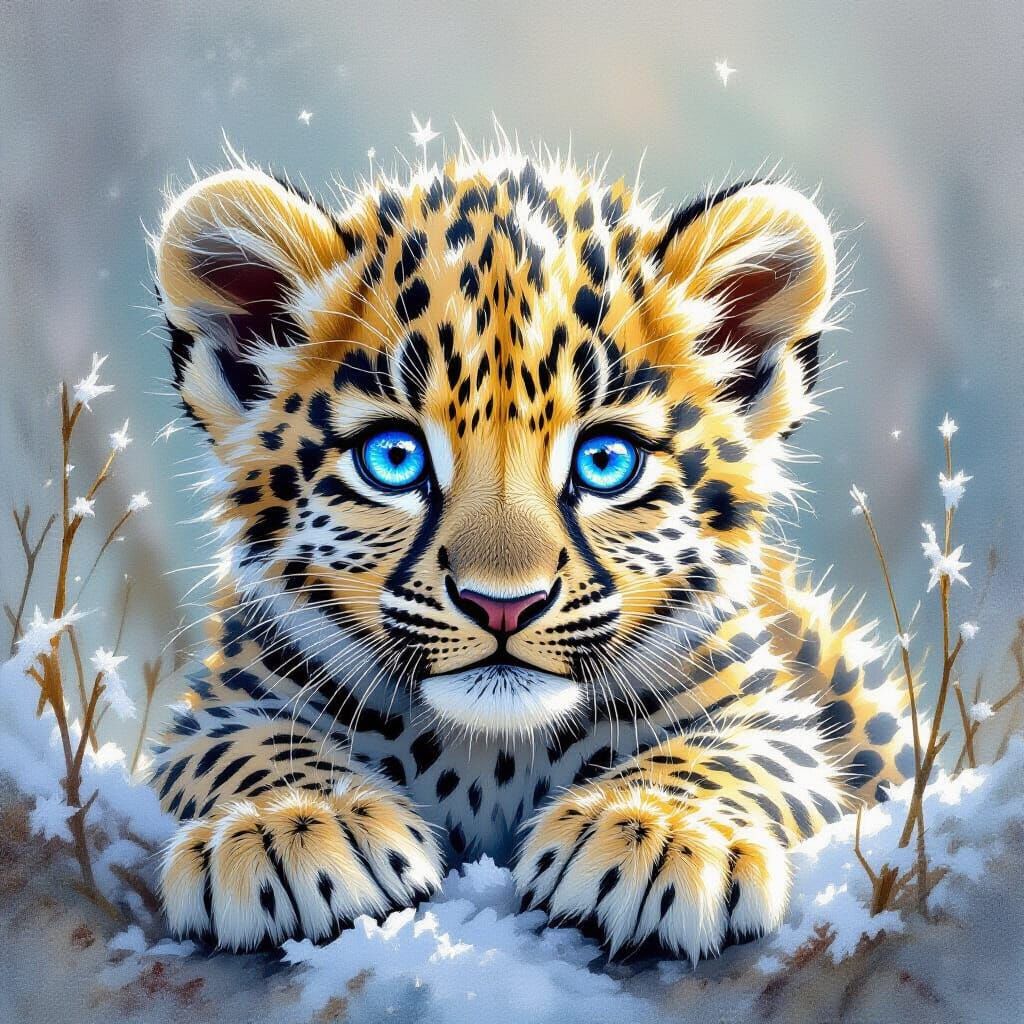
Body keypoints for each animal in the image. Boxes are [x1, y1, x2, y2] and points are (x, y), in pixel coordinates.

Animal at [149, 139, 915, 962]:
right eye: (393, 458)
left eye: (606, 462)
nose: (502, 606)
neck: (493, 754)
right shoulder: (223, 706)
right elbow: (255, 747)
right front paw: (290, 828)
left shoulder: (768, 714)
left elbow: (728, 754)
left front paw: (652, 835)